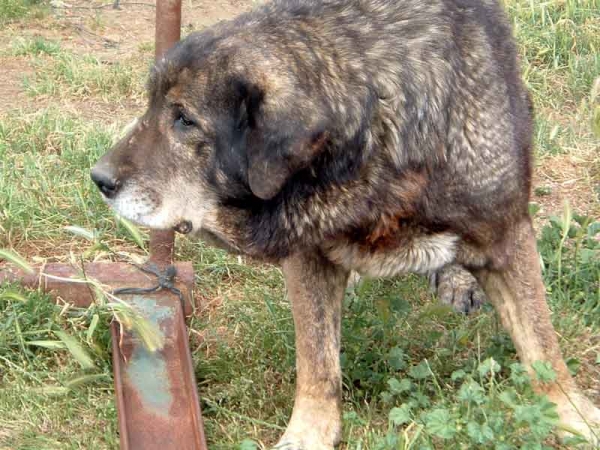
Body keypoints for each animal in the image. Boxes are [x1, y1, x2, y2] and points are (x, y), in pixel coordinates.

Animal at [90, 0, 600, 446]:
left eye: (185, 120)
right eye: (153, 107)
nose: (99, 179)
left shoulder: (508, 234)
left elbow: (543, 346)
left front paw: (573, 416)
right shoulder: (306, 254)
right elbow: (317, 362)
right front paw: (309, 433)